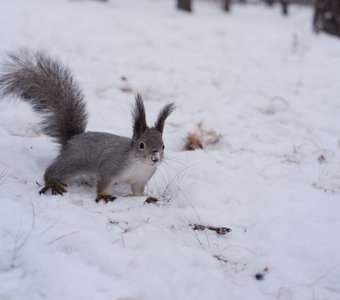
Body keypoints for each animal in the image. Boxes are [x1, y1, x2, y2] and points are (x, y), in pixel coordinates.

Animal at [0, 50, 174, 203]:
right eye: (141, 145)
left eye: (163, 146)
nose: (155, 158)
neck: (139, 165)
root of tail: (71, 140)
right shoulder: (110, 168)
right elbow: (103, 184)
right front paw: (103, 196)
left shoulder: (140, 180)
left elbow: (138, 193)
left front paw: (147, 198)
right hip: (73, 163)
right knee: (53, 171)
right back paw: (53, 183)